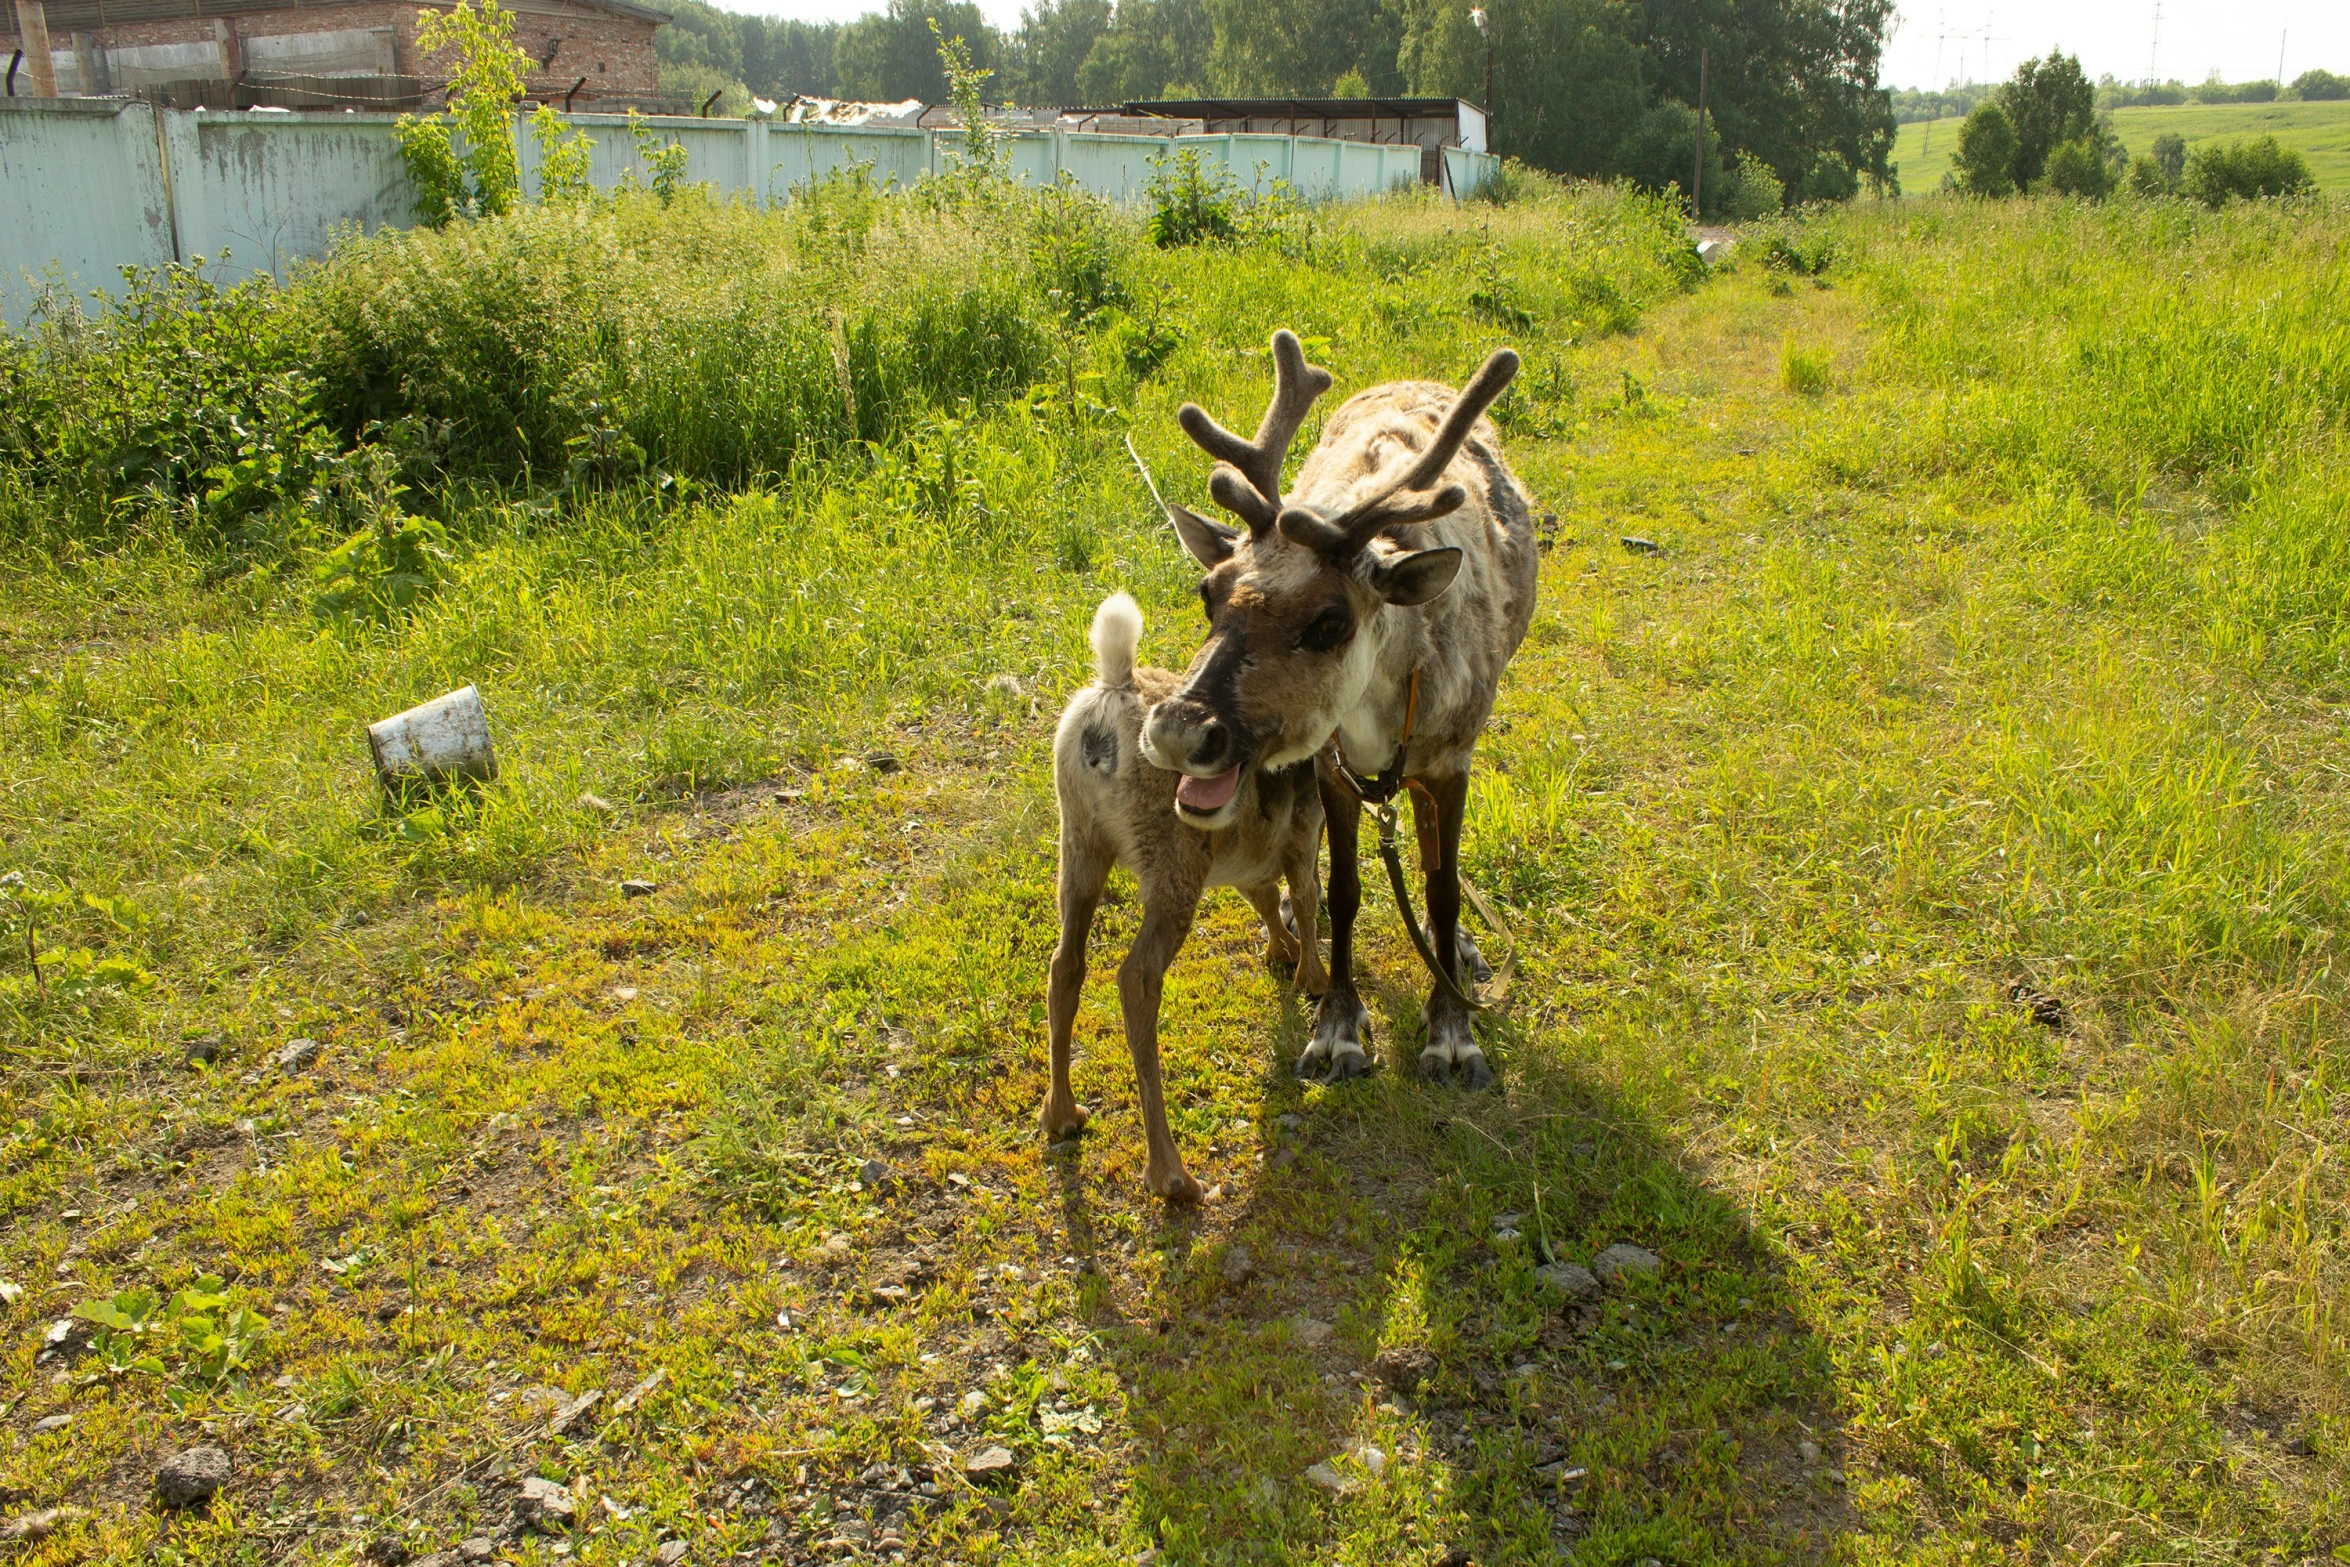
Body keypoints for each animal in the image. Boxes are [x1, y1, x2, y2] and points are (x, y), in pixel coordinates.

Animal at [1043, 592, 1334, 1202]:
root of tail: (1115, 691)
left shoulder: (1250, 860)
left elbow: (1267, 900)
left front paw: (1283, 954)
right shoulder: (1303, 834)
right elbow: (1304, 898)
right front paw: (1312, 979)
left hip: (1080, 846)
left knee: (1066, 964)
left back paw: (1061, 1115)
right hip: (1173, 869)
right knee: (1136, 978)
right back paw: (1172, 1176)